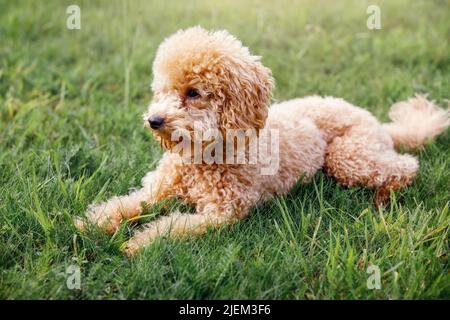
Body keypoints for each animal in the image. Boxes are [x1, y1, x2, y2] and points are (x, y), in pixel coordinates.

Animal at [74, 26, 450, 255]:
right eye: (162, 90)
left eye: (193, 92)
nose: (153, 121)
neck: (203, 157)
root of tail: (377, 123)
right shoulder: (157, 190)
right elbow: (126, 204)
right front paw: (91, 223)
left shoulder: (222, 212)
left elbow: (171, 226)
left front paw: (139, 243)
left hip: (349, 154)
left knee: (406, 166)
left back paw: (383, 196)